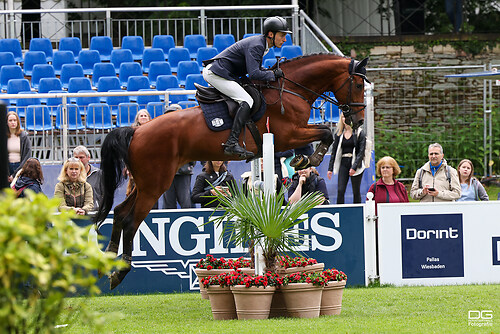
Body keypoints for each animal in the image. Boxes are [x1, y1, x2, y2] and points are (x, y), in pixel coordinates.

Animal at [94, 53, 368, 288]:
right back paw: (120, 272)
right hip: (155, 185)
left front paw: (305, 159)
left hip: (144, 183)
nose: (359, 121)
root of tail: (137, 131)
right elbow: (325, 132)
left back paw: (107, 260)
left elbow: (324, 133)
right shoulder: (287, 135)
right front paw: (310, 158)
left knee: (120, 212)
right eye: (357, 85)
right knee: (131, 221)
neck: (291, 90)